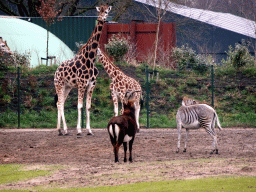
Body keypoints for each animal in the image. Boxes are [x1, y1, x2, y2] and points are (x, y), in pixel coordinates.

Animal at [54, 4, 111, 136]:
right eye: (99, 12)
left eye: (106, 12)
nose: (101, 19)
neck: (90, 59)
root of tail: (56, 70)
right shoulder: (81, 84)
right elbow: (79, 106)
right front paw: (79, 130)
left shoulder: (91, 85)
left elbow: (88, 107)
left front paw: (89, 130)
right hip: (59, 85)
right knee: (60, 103)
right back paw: (64, 129)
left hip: (67, 87)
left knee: (60, 103)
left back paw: (61, 130)